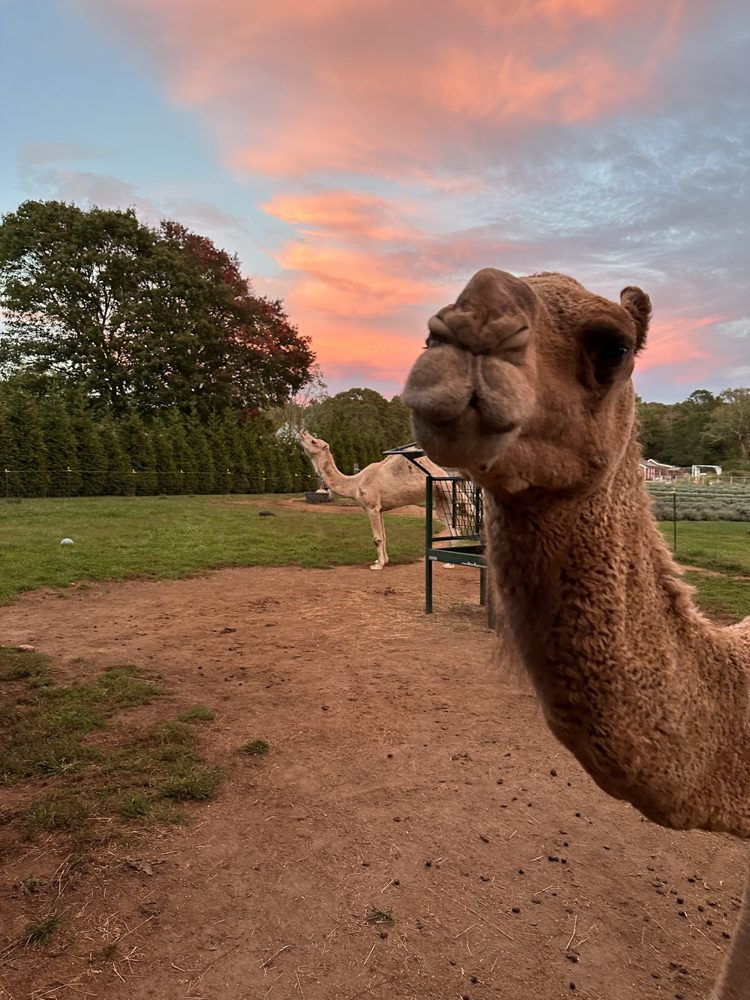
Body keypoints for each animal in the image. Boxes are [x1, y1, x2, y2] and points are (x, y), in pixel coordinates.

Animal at [298, 430, 462, 570]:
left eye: (313, 441)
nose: (302, 432)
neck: (355, 483)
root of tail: (444, 473)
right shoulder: (381, 508)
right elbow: (383, 535)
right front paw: (383, 560)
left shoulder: (372, 507)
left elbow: (377, 538)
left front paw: (378, 565)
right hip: (441, 499)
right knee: (452, 527)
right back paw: (449, 563)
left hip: (449, 490)